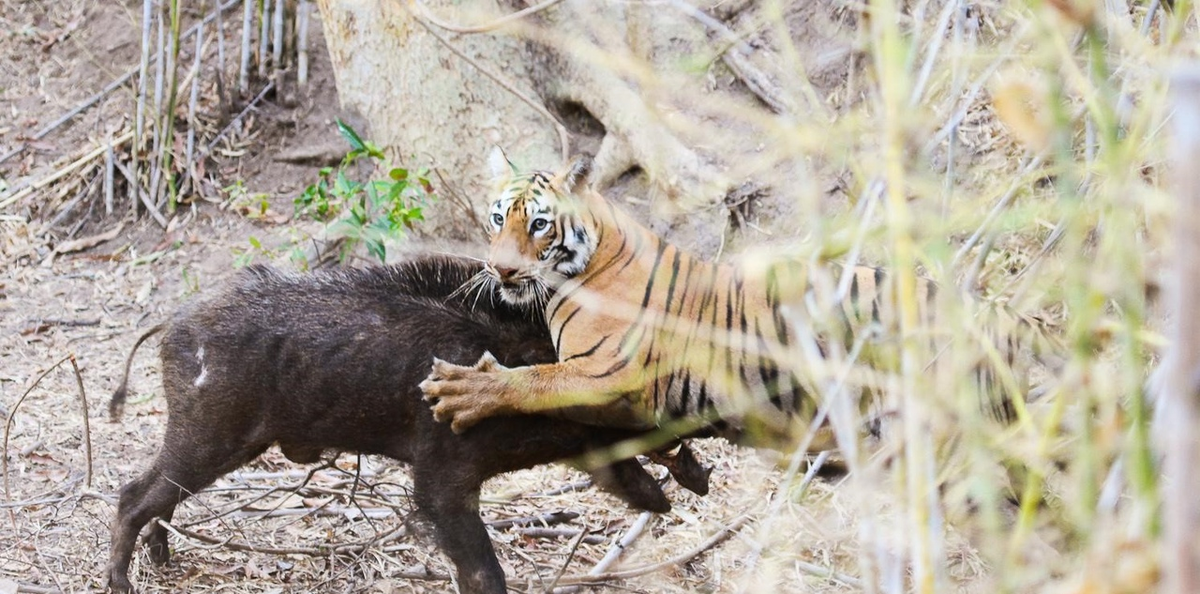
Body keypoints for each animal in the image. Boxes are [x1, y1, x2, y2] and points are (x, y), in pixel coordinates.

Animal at [417, 148, 1056, 451]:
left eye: (540, 225)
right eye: (497, 218)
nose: (500, 268)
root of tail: (1012, 318)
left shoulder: (608, 373)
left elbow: (532, 380)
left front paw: (463, 391)